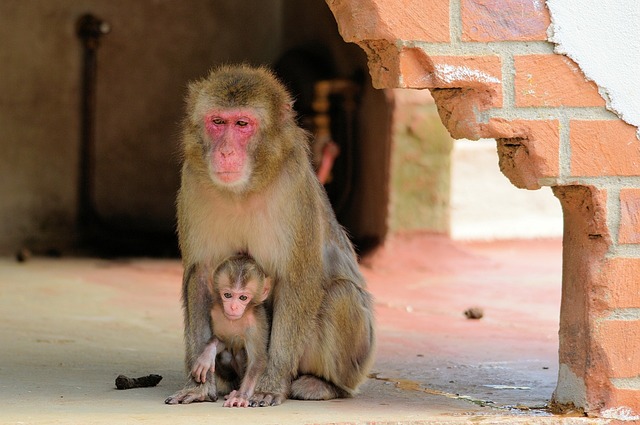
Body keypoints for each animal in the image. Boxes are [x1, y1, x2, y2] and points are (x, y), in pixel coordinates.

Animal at [190, 253, 270, 406]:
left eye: (243, 297)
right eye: (228, 295)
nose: (233, 307)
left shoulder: (255, 325)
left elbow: (258, 360)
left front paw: (241, 396)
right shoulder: (215, 312)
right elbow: (222, 340)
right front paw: (207, 354)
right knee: (226, 356)